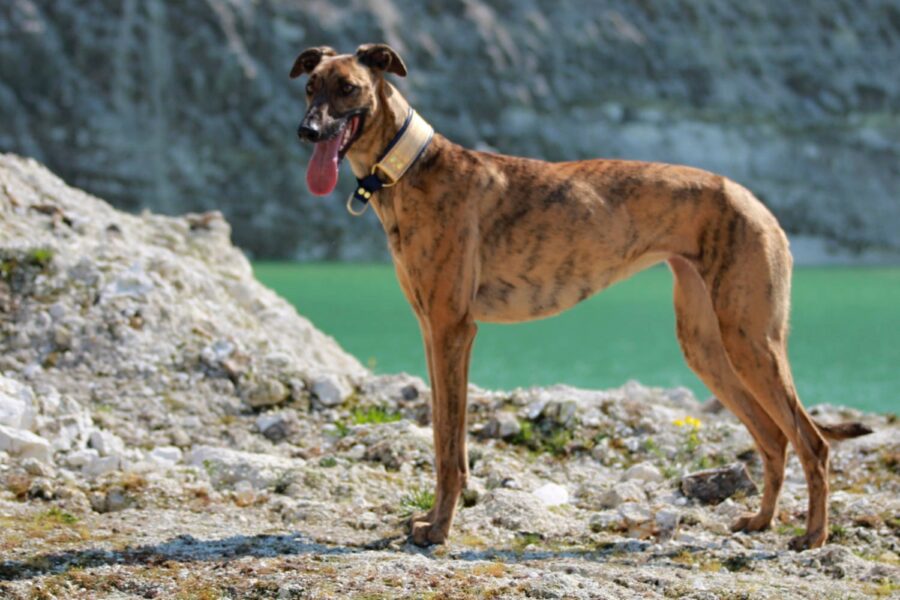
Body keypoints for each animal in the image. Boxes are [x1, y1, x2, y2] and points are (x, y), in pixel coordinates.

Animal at [292, 42, 868, 548]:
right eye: (310, 86)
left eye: (348, 88)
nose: (307, 130)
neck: (412, 166)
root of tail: (754, 201)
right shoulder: (434, 333)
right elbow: (443, 440)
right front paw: (431, 522)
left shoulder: (453, 329)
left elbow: (450, 448)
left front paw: (439, 531)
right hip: (708, 343)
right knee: (774, 437)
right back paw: (762, 521)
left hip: (750, 338)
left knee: (812, 442)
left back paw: (813, 537)